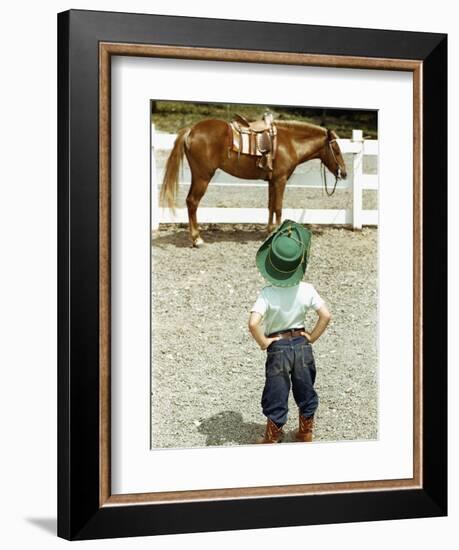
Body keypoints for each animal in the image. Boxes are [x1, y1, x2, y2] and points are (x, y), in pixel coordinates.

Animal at [160, 119, 346, 247]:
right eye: (336, 150)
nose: (343, 173)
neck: (289, 143)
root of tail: (191, 130)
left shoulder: (272, 181)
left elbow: (271, 206)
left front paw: (270, 232)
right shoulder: (280, 180)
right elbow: (278, 207)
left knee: (190, 201)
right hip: (202, 177)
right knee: (192, 202)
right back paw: (197, 239)